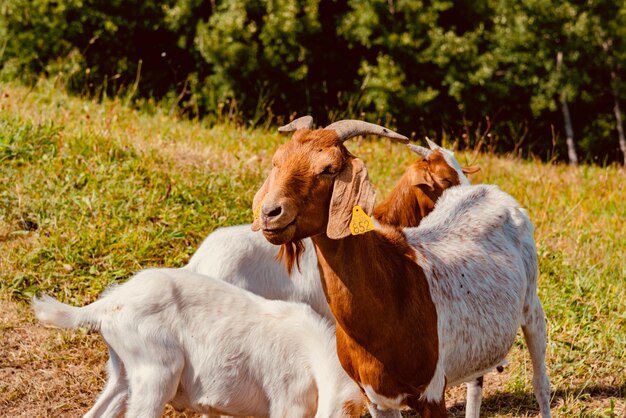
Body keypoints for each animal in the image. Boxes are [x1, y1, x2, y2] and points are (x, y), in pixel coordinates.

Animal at [251, 119, 548, 416]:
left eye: (330, 169)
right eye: (277, 161)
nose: (270, 213)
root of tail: (492, 192)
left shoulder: (432, 393)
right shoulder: (375, 397)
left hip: (532, 306)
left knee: (540, 384)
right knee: (477, 382)